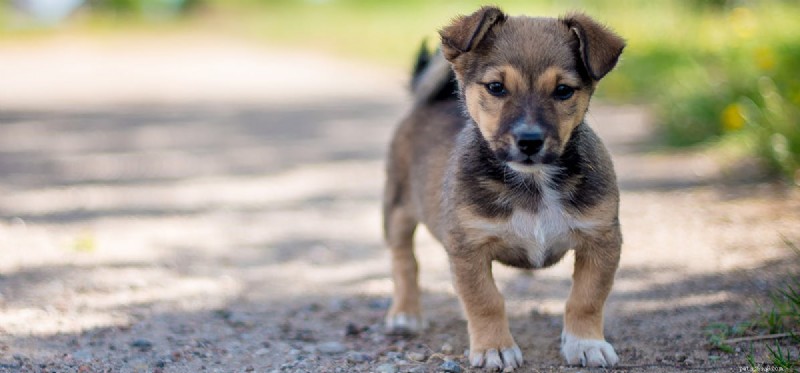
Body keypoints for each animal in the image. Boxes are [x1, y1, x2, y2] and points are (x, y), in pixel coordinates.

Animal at [382, 5, 624, 370]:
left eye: (563, 90)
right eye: (496, 87)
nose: (529, 141)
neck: (534, 181)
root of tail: (431, 101)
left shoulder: (602, 239)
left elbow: (587, 298)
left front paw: (586, 343)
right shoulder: (468, 247)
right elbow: (486, 300)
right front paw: (494, 347)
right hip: (396, 211)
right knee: (404, 263)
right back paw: (406, 313)